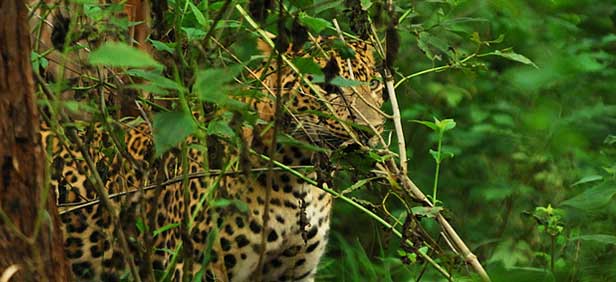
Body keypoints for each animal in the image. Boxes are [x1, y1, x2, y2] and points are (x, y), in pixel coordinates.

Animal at [42, 36, 384, 280]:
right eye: (326, 85)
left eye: (375, 83)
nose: (371, 130)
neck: (298, 179)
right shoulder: (195, 267)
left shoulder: (294, 272)